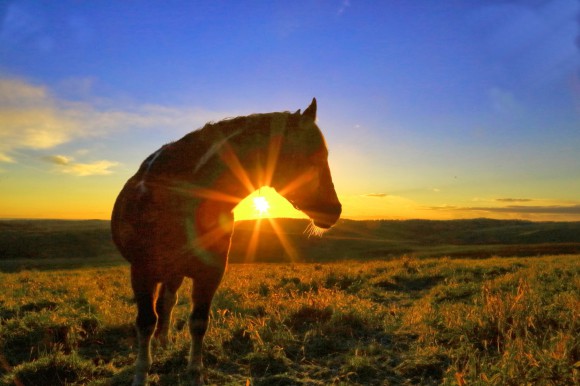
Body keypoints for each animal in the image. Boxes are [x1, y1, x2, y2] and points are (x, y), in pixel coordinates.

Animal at [111, 98, 342, 384]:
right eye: (315, 157)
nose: (334, 210)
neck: (179, 197)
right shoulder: (142, 272)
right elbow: (145, 322)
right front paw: (141, 373)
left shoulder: (210, 272)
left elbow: (198, 322)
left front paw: (195, 371)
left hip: (175, 272)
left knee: (168, 301)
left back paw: (164, 341)